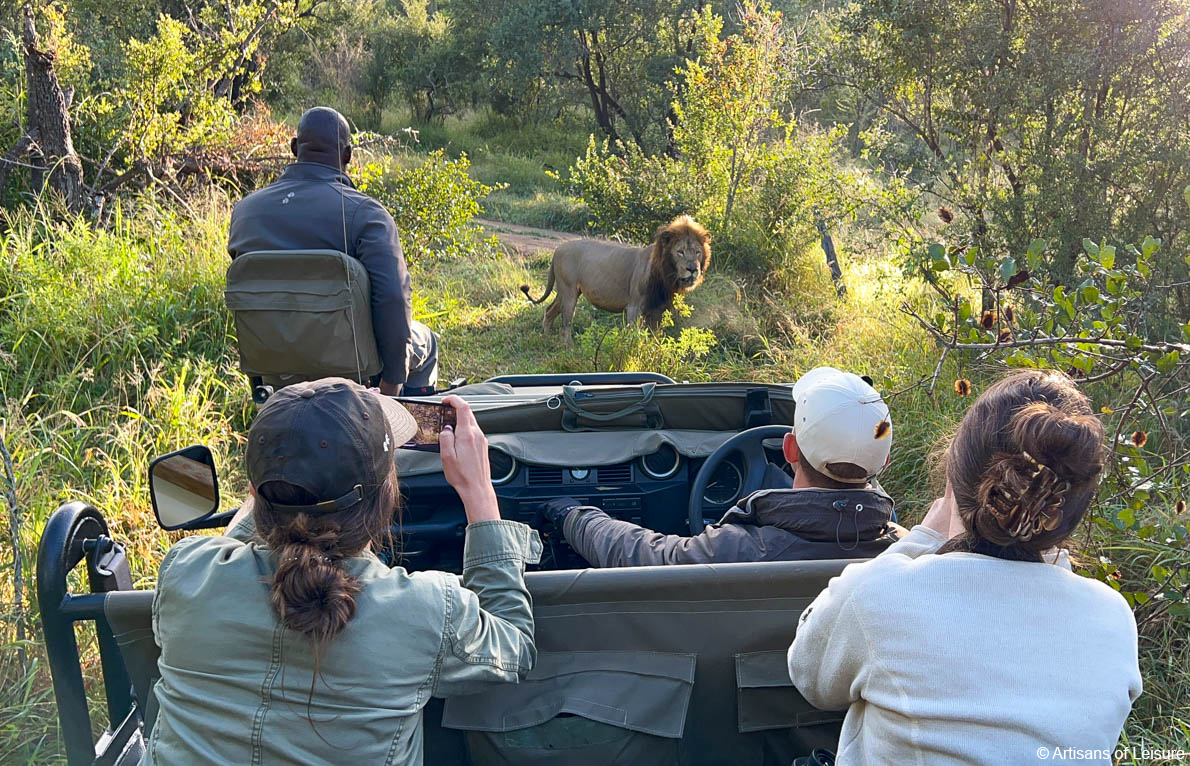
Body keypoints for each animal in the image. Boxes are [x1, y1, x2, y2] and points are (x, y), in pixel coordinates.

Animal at [518, 212, 704, 337]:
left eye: (697, 253)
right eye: (680, 252)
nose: (693, 269)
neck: (666, 276)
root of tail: (557, 249)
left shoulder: (659, 309)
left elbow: (654, 338)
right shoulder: (634, 307)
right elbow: (633, 337)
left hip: (567, 291)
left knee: (549, 310)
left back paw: (547, 338)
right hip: (568, 290)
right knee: (566, 322)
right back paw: (568, 349)